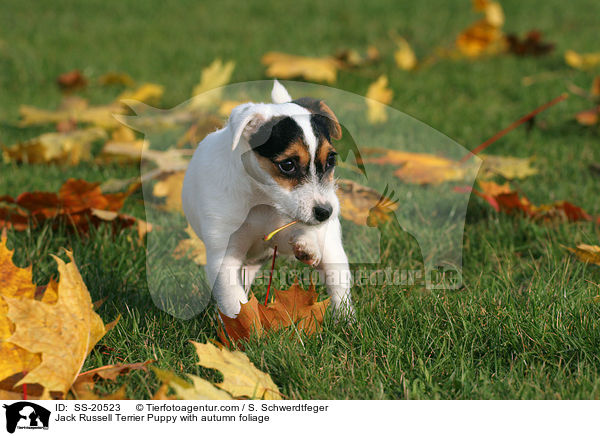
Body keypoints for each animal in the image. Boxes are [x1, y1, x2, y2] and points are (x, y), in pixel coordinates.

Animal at [180, 82, 354, 318]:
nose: (326, 212)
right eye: (287, 165)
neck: (263, 200)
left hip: (331, 251)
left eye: (331, 160)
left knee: (339, 288)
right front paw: (245, 326)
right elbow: (235, 301)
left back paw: (347, 321)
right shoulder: (224, 257)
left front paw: (306, 242)